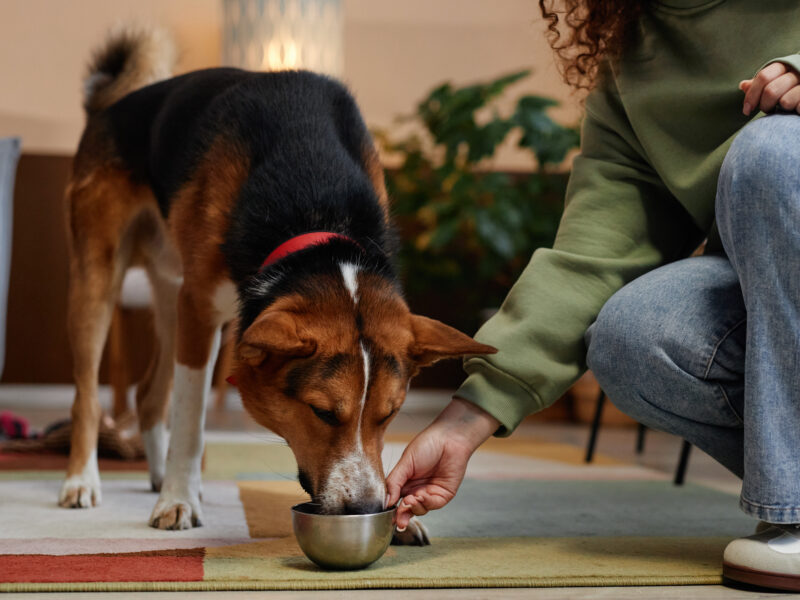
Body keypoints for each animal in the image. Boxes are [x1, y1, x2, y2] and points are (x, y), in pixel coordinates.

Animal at [59, 27, 494, 540]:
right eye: (323, 412)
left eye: (389, 415)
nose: (366, 507)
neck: (316, 214)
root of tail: (110, 104)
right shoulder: (199, 310)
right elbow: (190, 421)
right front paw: (178, 501)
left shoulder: (192, 308)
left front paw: (403, 521)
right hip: (99, 281)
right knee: (89, 397)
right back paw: (83, 482)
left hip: (168, 291)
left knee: (149, 396)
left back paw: (157, 475)